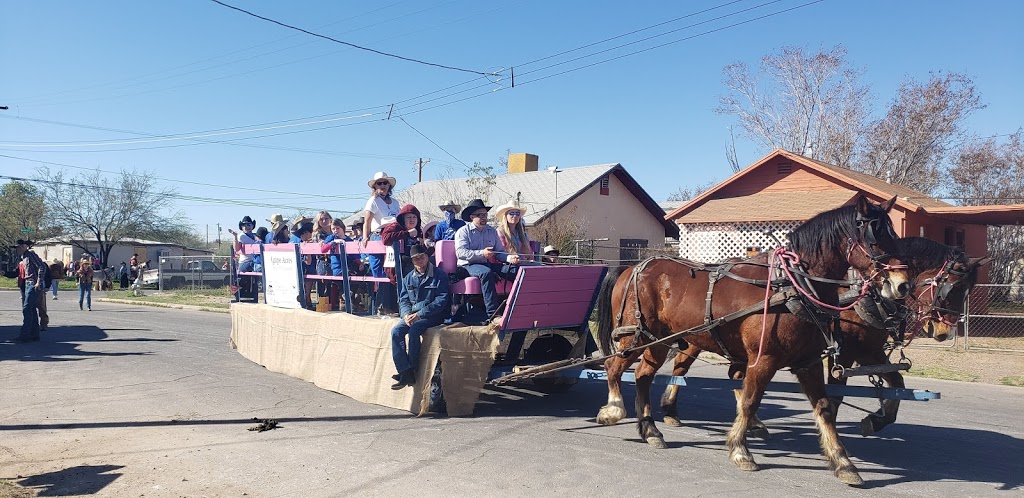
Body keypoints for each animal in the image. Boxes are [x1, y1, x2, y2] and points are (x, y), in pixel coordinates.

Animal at [598, 195, 909, 485]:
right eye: (874, 237)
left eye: (894, 235)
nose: (901, 285)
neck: (792, 285)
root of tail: (632, 268)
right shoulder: (764, 359)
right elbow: (749, 401)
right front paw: (740, 450)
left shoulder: (808, 362)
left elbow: (825, 407)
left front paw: (844, 463)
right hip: (636, 336)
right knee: (614, 368)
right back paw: (614, 409)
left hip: (658, 341)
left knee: (643, 375)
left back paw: (650, 429)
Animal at [659, 236, 987, 436]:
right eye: (952, 288)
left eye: (966, 291)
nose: (943, 332)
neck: (862, 294)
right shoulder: (849, 352)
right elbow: (837, 395)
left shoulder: (870, 351)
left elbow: (896, 385)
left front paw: (876, 420)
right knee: (685, 369)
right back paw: (672, 409)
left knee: (715, 373)